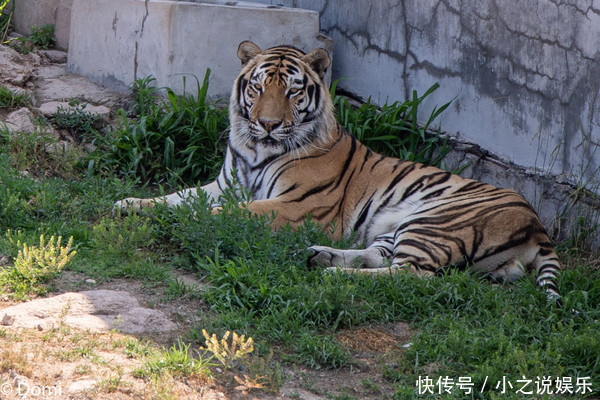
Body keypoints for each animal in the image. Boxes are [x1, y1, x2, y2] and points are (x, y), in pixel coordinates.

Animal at [112, 39, 564, 304]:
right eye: (257, 87)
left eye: (292, 90)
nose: (268, 124)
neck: (256, 149)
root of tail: (538, 224)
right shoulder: (223, 185)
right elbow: (176, 197)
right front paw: (127, 204)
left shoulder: (297, 206)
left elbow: (225, 213)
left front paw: (182, 221)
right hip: (397, 226)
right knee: (381, 258)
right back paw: (320, 257)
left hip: (436, 221)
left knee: (414, 277)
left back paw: (331, 276)